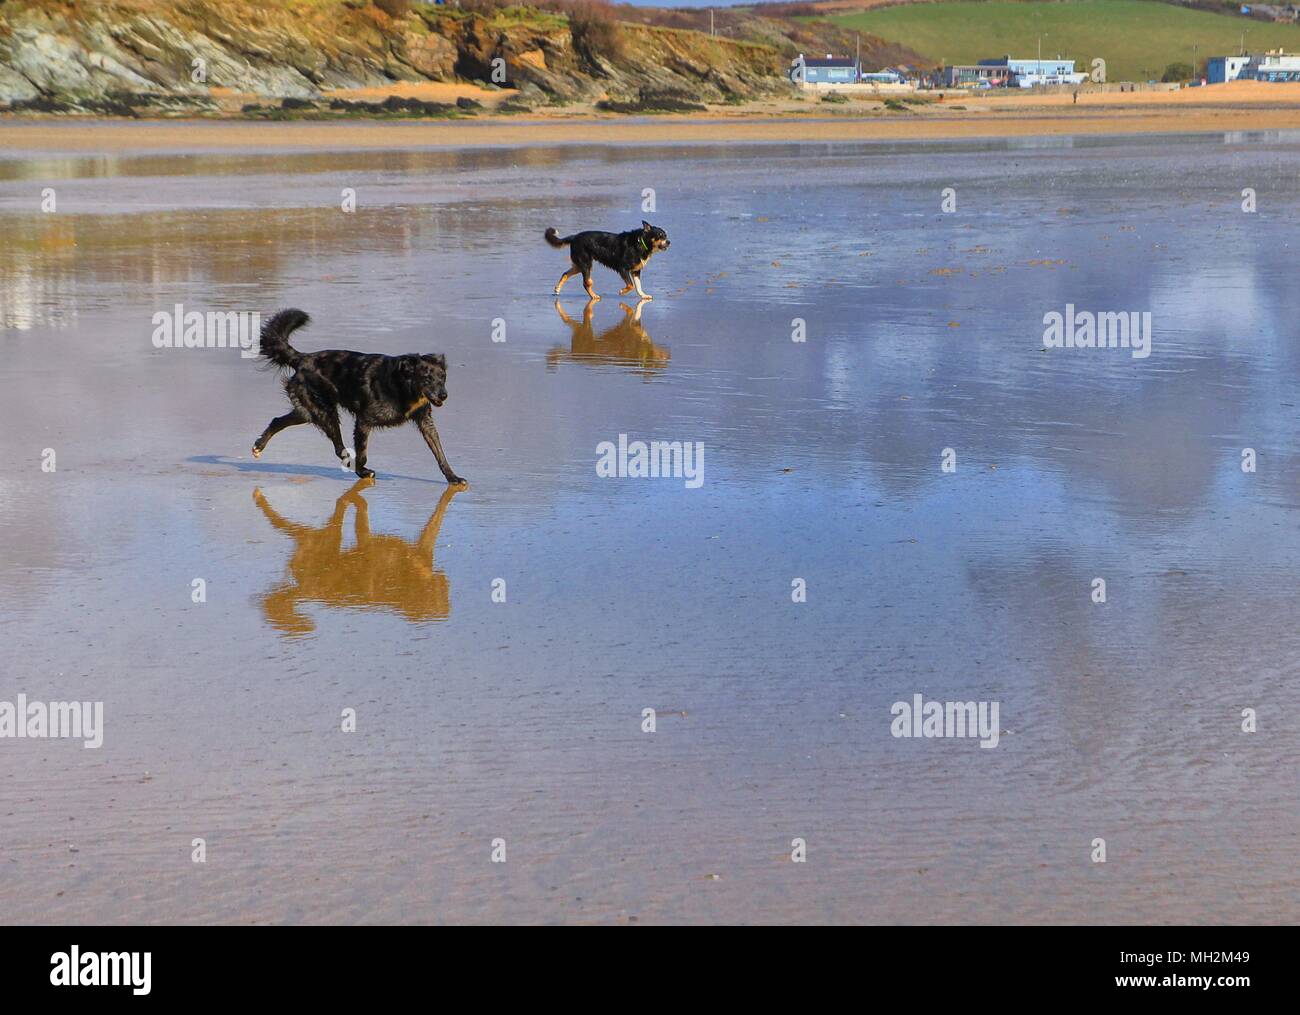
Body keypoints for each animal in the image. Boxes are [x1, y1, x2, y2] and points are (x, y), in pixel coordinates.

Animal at [250, 306, 465, 486]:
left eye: (443, 377)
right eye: (426, 378)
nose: (444, 395)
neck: (403, 383)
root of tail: (302, 358)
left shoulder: (425, 421)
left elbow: (440, 453)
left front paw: (453, 477)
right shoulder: (364, 420)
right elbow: (362, 454)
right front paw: (362, 471)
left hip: (310, 411)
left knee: (279, 420)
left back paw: (259, 446)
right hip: (325, 412)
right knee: (338, 447)